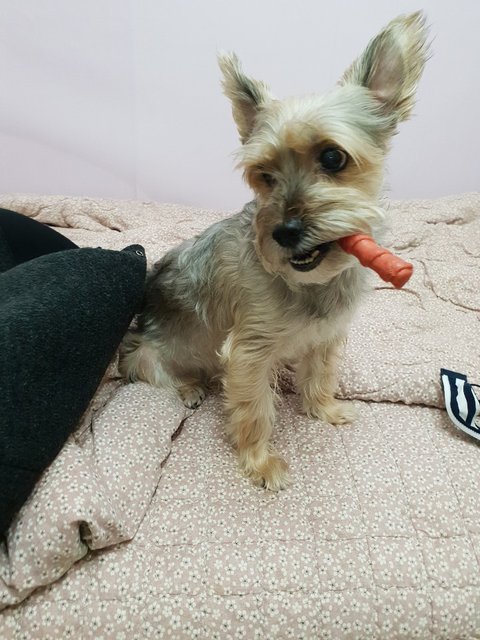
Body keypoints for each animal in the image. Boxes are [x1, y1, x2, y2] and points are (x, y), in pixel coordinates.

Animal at [120, 12, 429, 490]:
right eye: (263, 175)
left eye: (334, 157)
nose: (283, 232)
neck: (310, 281)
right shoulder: (249, 352)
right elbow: (255, 409)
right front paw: (261, 463)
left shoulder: (327, 335)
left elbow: (320, 375)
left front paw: (324, 410)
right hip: (144, 352)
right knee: (156, 371)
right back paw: (188, 388)